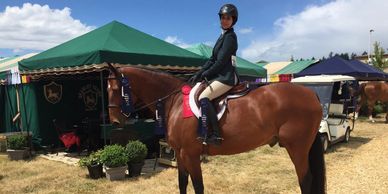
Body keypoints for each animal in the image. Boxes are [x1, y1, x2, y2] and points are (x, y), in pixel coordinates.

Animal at [106, 66, 324, 193]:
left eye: (116, 89)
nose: (114, 121)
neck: (174, 102)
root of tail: (311, 94)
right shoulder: (180, 154)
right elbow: (182, 183)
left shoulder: (191, 154)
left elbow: (198, 186)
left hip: (297, 148)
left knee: (305, 180)